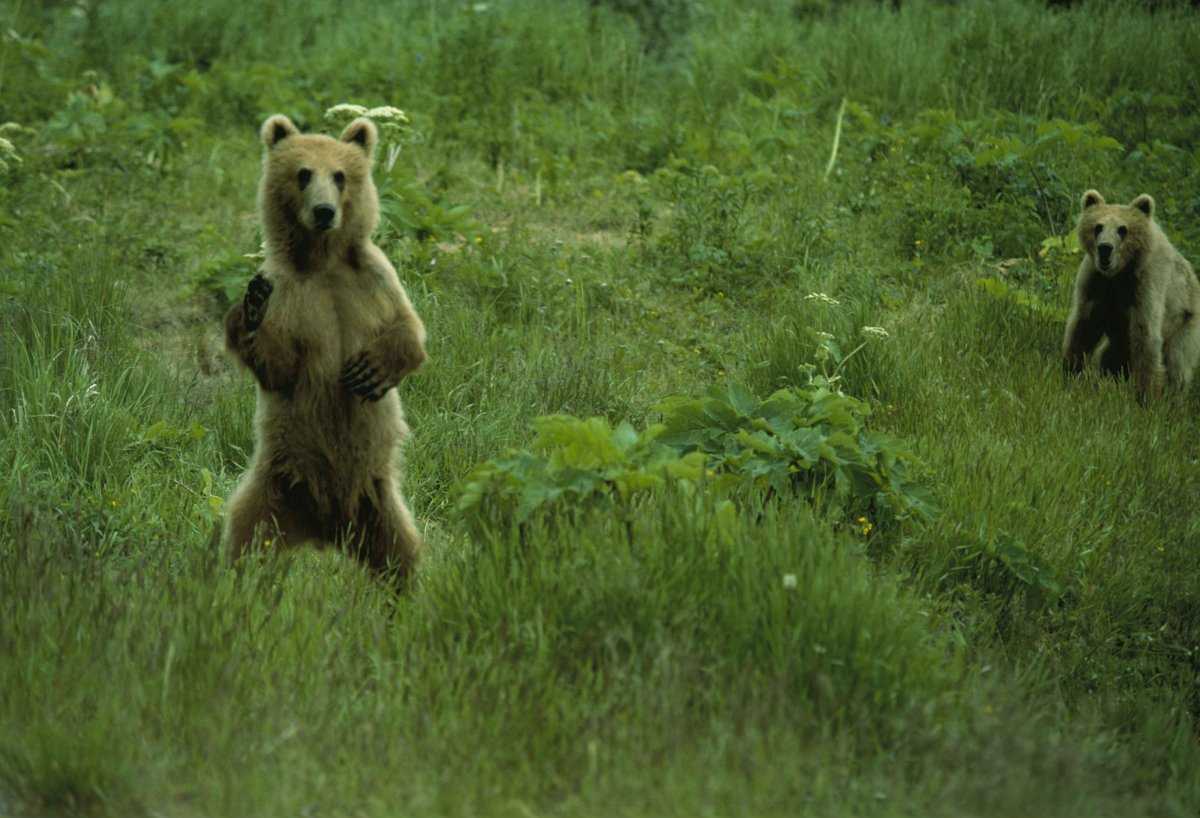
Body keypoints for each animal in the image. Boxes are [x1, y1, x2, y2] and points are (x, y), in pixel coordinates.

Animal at [222, 113, 427, 581]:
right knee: (244, 538)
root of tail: (327, 528)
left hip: (379, 498)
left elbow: (409, 329)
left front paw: (370, 370)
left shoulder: (373, 279)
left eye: (340, 175)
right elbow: (280, 365)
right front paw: (251, 309)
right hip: (275, 484)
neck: (324, 262)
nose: (324, 211)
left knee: (401, 552)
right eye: (302, 174)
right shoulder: (291, 293)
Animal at [1062, 189, 1200, 401]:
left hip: (1184, 324)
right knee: (1109, 357)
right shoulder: (1095, 282)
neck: (1119, 274)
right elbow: (1084, 326)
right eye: (1098, 227)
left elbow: (1146, 335)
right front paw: (1069, 371)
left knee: (1176, 364)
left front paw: (1147, 396)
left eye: (1122, 229)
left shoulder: (1146, 285)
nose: (1105, 248)